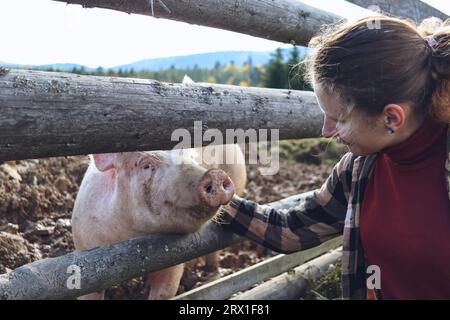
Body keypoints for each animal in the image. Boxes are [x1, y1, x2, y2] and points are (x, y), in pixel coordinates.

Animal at [72, 145, 246, 300]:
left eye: (193, 159)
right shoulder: (85, 254)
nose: (215, 174)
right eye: (146, 165)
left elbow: (165, 290)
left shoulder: (173, 263)